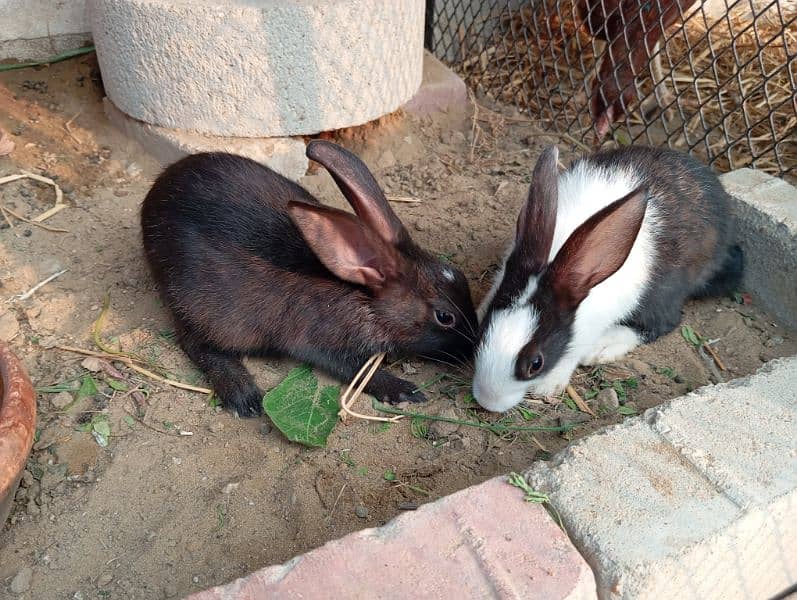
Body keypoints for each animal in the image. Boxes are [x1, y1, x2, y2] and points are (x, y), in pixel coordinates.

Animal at [140, 139, 476, 418]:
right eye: (445, 317)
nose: (471, 348)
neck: (363, 297)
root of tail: (153, 200)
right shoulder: (322, 342)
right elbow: (355, 370)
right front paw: (404, 390)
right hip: (207, 310)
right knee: (196, 343)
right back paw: (243, 396)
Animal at [472, 145, 740, 412]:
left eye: (536, 363)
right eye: (482, 331)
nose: (488, 401)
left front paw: (548, 385)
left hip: (666, 290)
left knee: (663, 323)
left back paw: (604, 346)